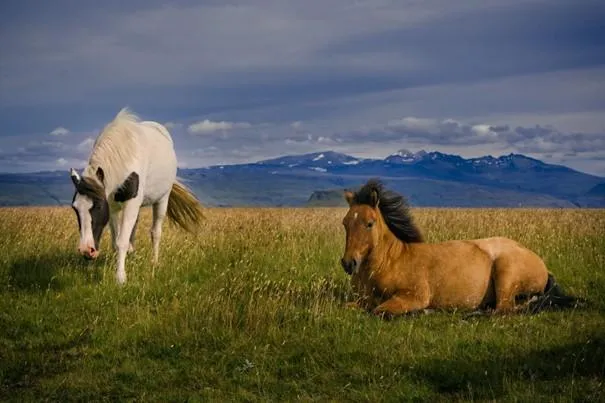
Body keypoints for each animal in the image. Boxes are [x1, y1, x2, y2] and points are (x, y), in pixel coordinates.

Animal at [69, 107, 204, 284]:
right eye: (75, 208)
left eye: (97, 206)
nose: (86, 250)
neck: (124, 154)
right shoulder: (112, 206)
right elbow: (117, 240)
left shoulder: (129, 203)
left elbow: (121, 241)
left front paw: (120, 278)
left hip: (162, 199)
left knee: (156, 232)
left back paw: (154, 262)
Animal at [342, 178, 580, 318]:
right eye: (345, 223)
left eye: (369, 223)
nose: (348, 263)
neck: (391, 262)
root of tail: (542, 264)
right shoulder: (362, 300)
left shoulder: (413, 296)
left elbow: (378, 311)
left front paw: (424, 312)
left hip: (506, 273)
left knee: (505, 310)